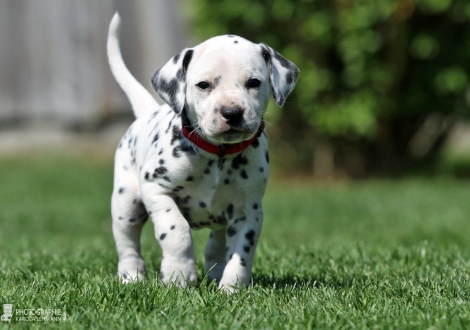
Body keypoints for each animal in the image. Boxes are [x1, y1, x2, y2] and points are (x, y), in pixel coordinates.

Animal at [107, 12, 298, 292]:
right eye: (203, 85)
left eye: (253, 82)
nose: (232, 112)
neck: (218, 155)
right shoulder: (157, 190)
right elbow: (176, 230)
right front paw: (179, 275)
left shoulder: (248, 211)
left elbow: (241, 251)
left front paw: (232, 288)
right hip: (126, 203)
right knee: (127, 243)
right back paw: (132, 276)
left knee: (215, 245)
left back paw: (216, 273)